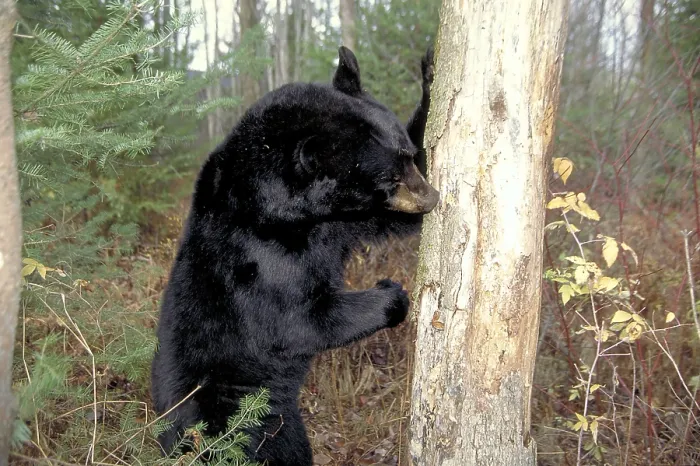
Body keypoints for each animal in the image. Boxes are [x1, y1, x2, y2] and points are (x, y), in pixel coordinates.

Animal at [150, 45, 438, 465]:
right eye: (387, 178)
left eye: (409, 156)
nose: (432, 198)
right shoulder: (259, 258)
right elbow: (299, 321)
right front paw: (393, 295)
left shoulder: (337, 224)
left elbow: (389, 221)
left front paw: (430, 73)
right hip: (241, 419)